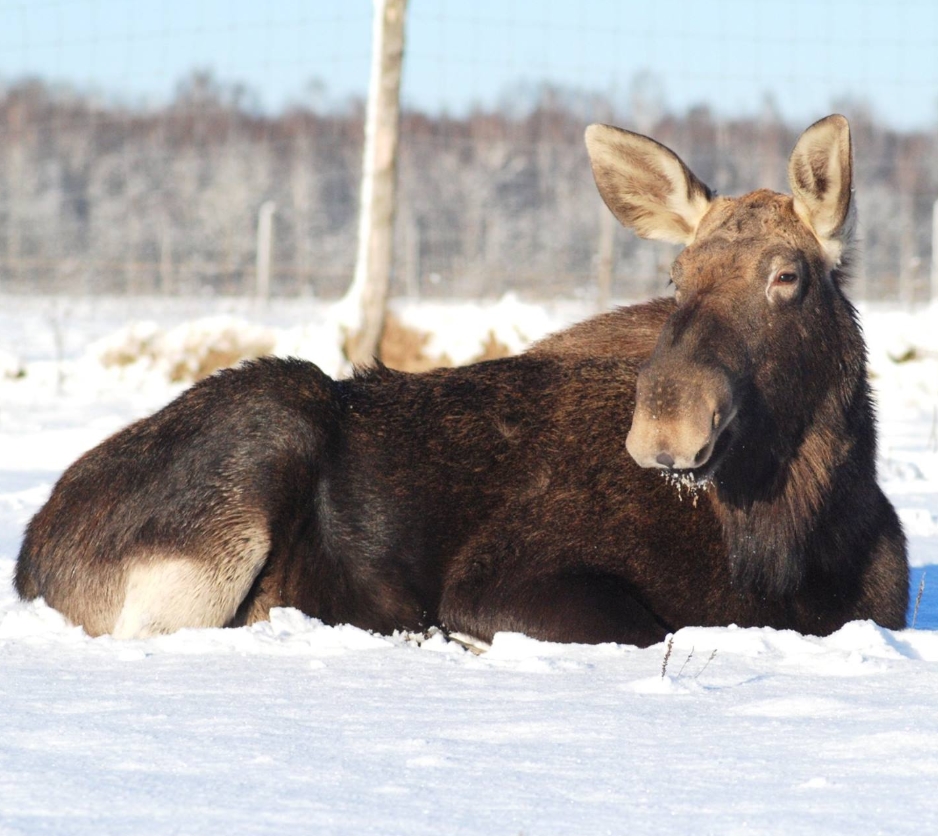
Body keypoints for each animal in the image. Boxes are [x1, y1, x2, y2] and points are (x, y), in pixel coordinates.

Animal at [14, 114, 908, 648]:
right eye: (677, 275)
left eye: (788, 275)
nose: (666, 429)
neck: (788, 537)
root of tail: (29, 555)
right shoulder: (497, 582)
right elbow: (650, 627)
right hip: (260, 441)